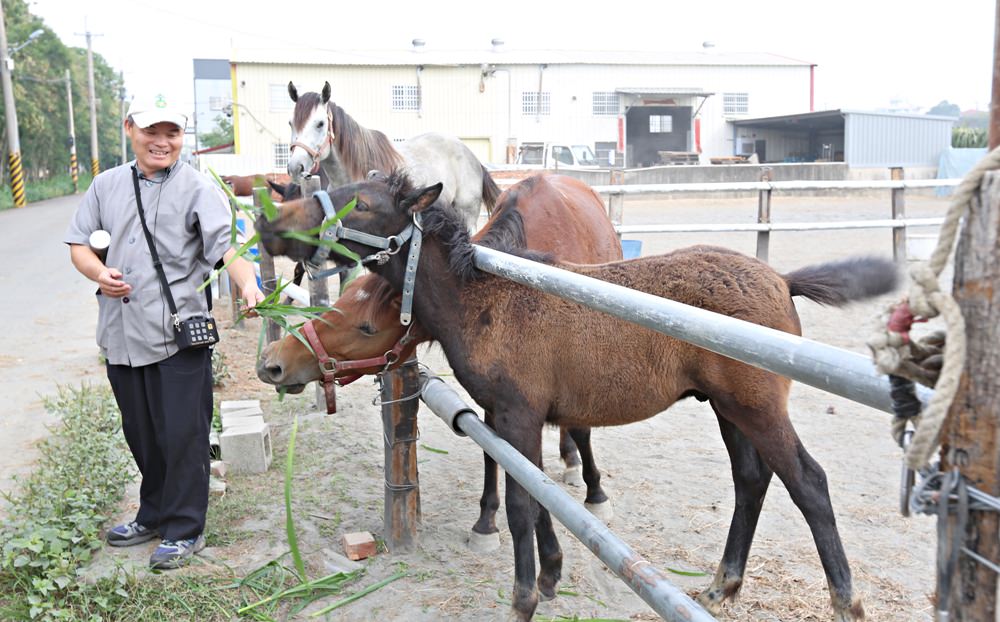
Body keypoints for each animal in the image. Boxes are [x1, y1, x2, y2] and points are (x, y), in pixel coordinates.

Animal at [254, 174, 620, 544]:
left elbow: (580, 432)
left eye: (366, 327)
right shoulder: (498, 391)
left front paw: (596, 492)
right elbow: (495, 451)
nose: (273, 361)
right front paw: (486, 520)